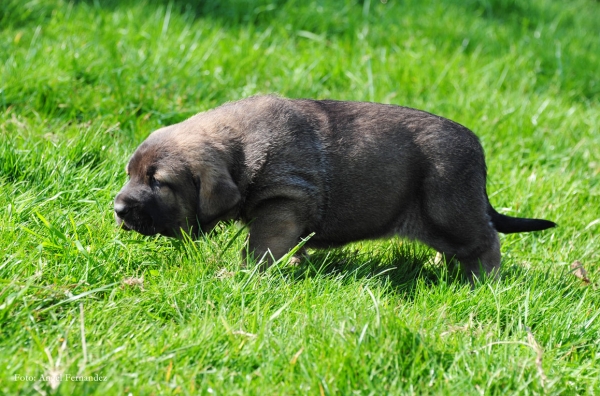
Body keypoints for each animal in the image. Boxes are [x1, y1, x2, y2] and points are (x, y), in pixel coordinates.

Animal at [115, 95, 556, 280]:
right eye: (130, 174)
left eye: (158, 182)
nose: (117, 209)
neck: (240, 150)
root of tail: (478, 150)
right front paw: (295, 263)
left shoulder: (282, 204)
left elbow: (259, 248)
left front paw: (242, 274)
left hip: (449, 209)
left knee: (486, 242)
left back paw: (483, 281)